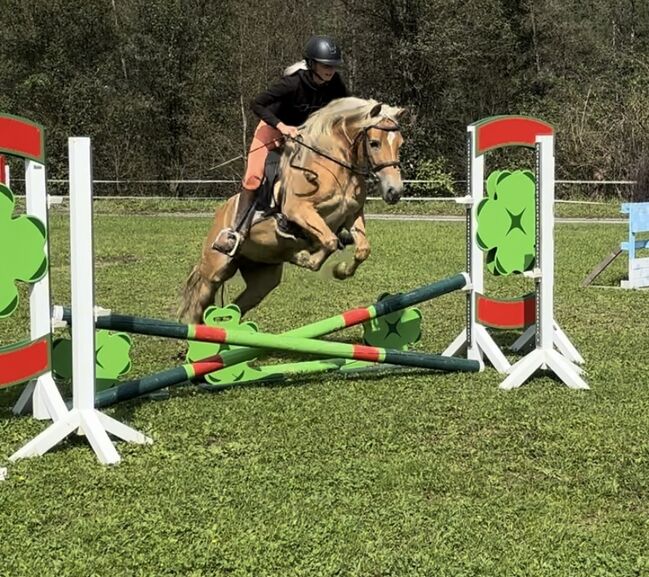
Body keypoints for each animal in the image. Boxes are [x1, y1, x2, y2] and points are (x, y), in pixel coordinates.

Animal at [177, 95, 404, 324]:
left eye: (400, 144)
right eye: (374, 143)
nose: (394, 191)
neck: (334, 167)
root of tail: (221, 212)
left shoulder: (352, 214)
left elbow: (361, 249)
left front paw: (339, 270)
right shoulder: (299, 210)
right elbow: (329, 241)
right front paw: (305, 257)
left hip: (262, 276)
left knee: (238, 305)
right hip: (216, 267)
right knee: (198, 303)